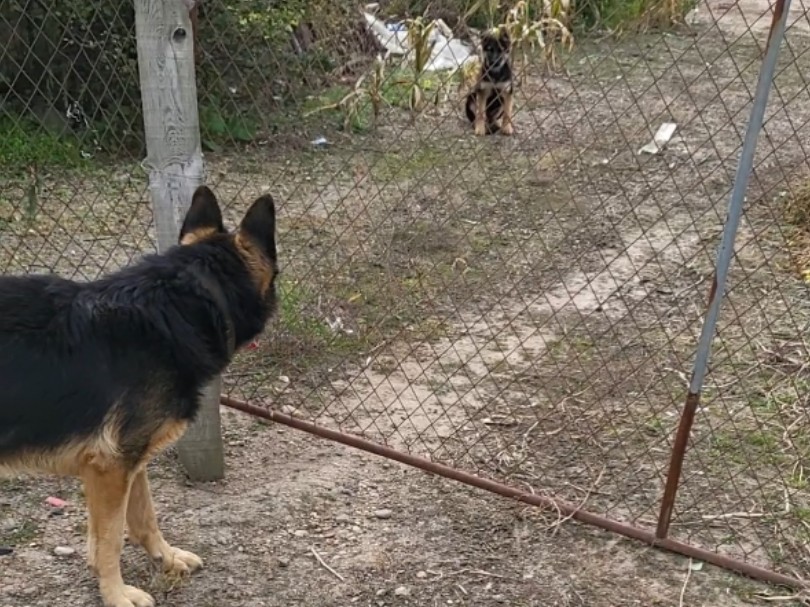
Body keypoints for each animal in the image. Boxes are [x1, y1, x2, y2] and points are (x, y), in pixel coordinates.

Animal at [0, 188, 278, 604]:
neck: (183, 301)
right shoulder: (111, 467)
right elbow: (111, 540)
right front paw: (116, 593)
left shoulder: (127, 463)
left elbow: (142, 518)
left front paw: (166, 558)